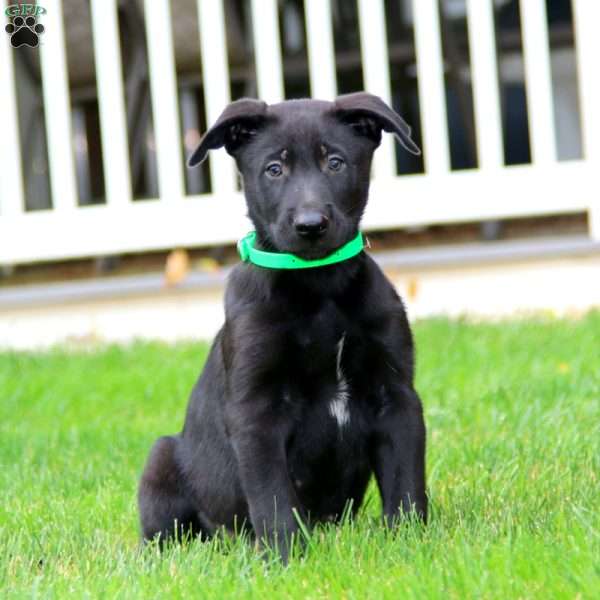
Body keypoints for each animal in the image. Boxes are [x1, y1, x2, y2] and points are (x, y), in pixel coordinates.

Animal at [138, 91, 424, 560]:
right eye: (274, 169)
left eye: (335, 163)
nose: (310, 226)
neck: (320, 288)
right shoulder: (256, 413)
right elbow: (272, 496)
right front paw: (284, 557)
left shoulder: (395, 394)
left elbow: (406, 482)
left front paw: (411, 542)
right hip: (161, 459)